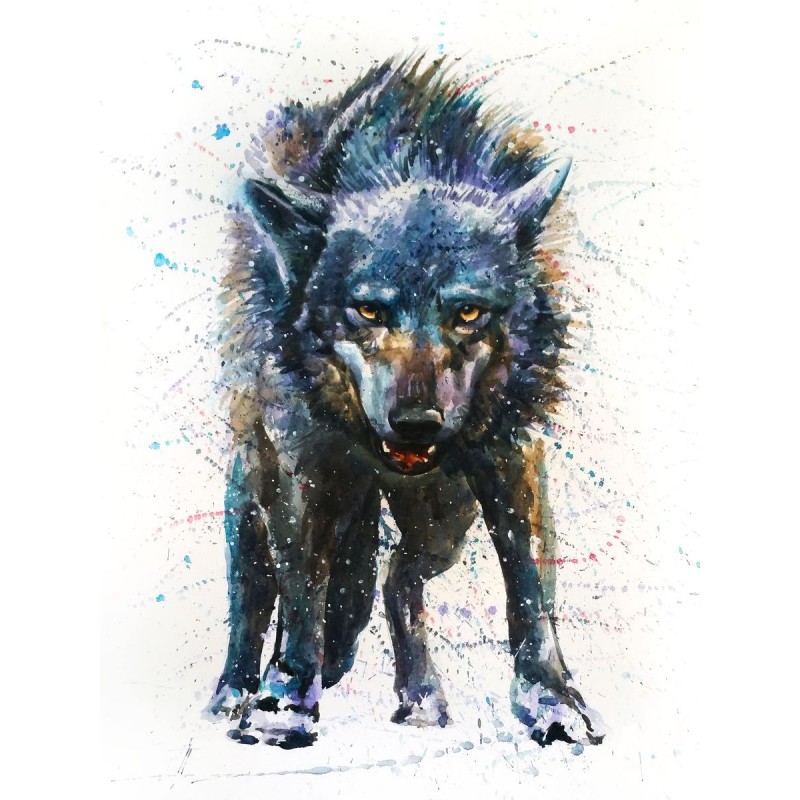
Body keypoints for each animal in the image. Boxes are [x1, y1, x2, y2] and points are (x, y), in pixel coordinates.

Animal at [207, 55, 604, 749]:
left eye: (468, 312)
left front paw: (550, 701)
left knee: (399, 575)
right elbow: (303, 589)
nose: (417, 424)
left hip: (444, 518)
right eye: (369, 310)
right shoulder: (302, 466)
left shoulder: (512, 454)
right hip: (251, 493)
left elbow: (531, 588)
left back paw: (421, 697)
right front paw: (284, 701)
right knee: (254, 596)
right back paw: (234, 693)